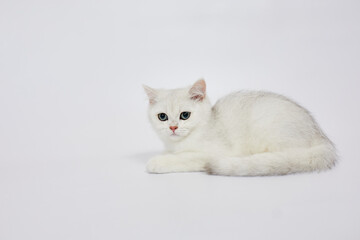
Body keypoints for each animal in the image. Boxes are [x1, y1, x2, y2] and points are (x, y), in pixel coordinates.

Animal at [143, 79, 338, 175]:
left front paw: (157, 162)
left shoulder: (215, 152)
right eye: (162, 117)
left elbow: (185, 158)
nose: (173, 127)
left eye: (185, 115)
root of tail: (321, 136)